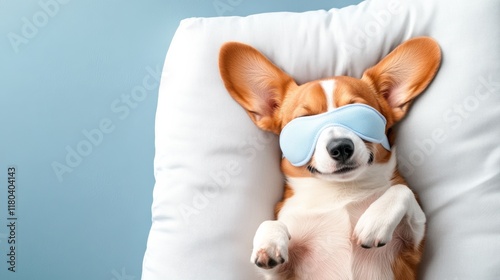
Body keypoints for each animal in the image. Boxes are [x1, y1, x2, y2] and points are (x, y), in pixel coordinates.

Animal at [219, 37, 442, 280]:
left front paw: (374, 221)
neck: (340, 193)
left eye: (361, 115)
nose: (341, 147)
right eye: (304, 119)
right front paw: (268, 244)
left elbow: (403, 190)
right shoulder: (280, 274)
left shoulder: (412, 248)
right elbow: (271, 223)